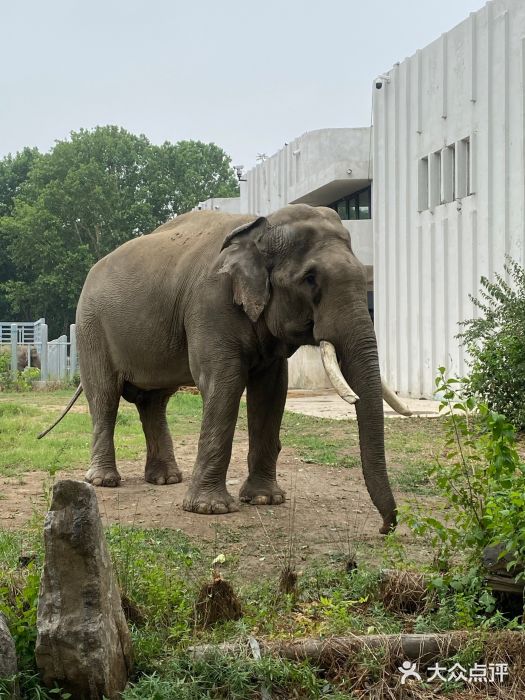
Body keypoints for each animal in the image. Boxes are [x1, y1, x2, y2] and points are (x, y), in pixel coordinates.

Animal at [41, 205, 410, 532]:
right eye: (309, 279)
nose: (385, 528)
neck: (259, 226)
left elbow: (272, 391)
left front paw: (264, 500)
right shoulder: (210, 305)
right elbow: (225, 382)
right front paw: (210, 509)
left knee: (153, 402)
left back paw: (166, 479)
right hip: (90, 327)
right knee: (105, 396)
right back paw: (104, 481)